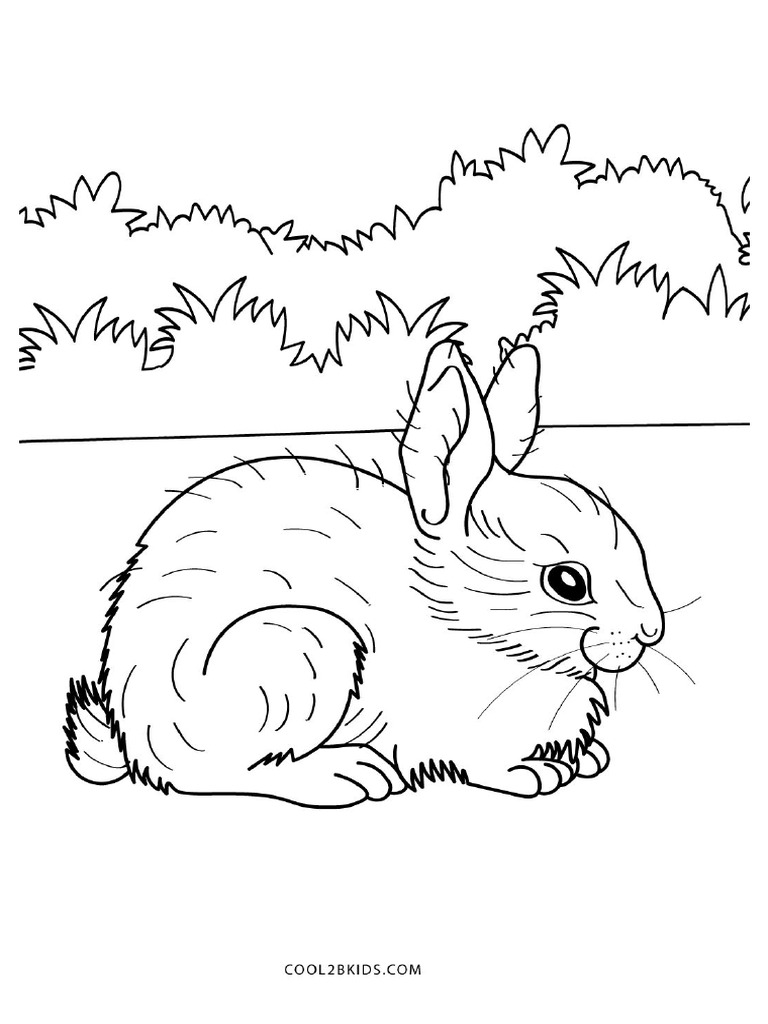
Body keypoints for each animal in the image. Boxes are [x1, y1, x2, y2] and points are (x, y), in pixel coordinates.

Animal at [65, 338, 665, 807]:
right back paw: (346, 775)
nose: (651, 631)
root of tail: (133, 733)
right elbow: (482, 764)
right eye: (567, 582)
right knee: (212, 772)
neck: (466, 623)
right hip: (299, 652)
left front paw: (586, 759)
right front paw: (534, 773)